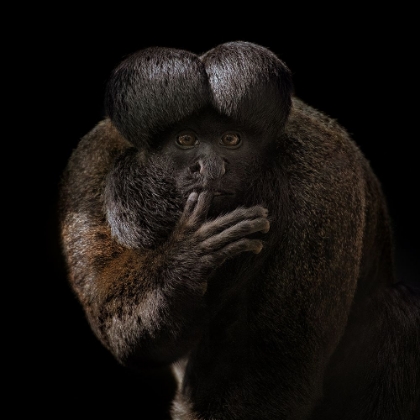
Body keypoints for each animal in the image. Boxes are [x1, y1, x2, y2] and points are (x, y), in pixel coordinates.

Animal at [59, 40, 420, 420]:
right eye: (185, 139)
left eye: (230, 139)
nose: (211, 166)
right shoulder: (89, 166)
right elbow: (126, 335)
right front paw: (189, 256)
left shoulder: (322, 180)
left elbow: (276, 377)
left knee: (398, 315)